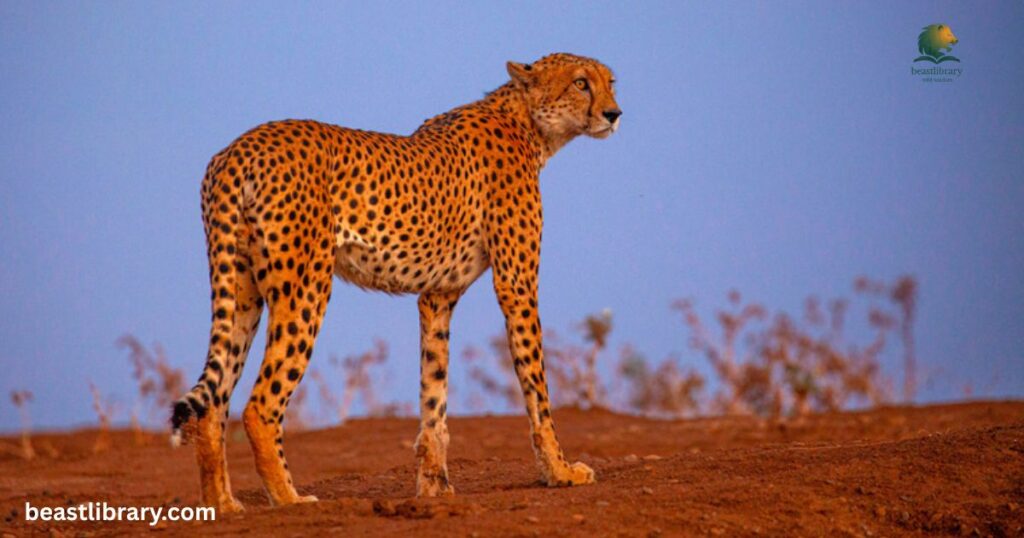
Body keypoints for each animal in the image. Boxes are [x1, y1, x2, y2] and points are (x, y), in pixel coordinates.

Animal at [170, 52, 621, 513]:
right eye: (581, 82)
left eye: (610, 82)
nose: (614, 114)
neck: (529, 123)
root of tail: (239, 147)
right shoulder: (517, 284)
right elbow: (537, 386)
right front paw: (560, 471)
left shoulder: (438, 295)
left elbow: (434, 390)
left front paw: (434, 487)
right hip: (306, 286)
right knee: (261, 404)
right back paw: (289, 498)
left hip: (242, 291)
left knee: (213, 403)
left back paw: (223, 505)